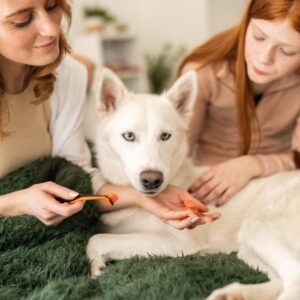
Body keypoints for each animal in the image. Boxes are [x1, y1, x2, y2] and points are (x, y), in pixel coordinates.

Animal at [86, 68, 300, 300]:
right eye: (129, 136)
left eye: (165, 136)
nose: (152, 180)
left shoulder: (178, 241)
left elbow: (96, 239)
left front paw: (96, 267)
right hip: (249, 247)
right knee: (280, 279)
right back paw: (233, 293)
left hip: (261, 225)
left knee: (294, 277)